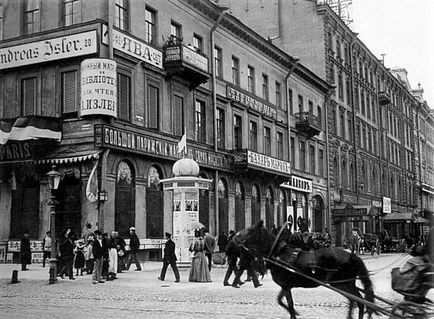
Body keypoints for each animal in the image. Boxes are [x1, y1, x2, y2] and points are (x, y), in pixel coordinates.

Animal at [239, 222, 374, 319]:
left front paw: (295, 313)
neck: (279, 254)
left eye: (250, 231)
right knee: (355, 300)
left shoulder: (286, 286)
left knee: (360, 301)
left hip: (343, 283)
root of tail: (351, 255)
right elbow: (282, 301)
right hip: (343, 284)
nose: (237, 239)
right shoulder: (285, 286)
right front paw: (295, 313)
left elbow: (288, 304)